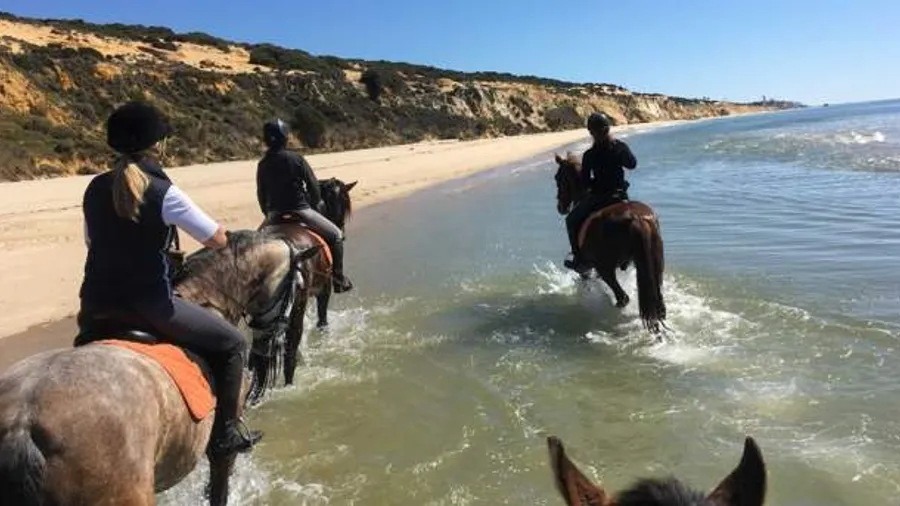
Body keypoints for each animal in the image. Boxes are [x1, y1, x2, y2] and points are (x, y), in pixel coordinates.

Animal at [0, 230, 320, 506]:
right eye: (296, 286)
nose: (270, 340)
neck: (206, 298)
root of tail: (22, 425)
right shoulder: (224, 446)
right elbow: (219, 486)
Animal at [256, 177, 357, 390]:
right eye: (342, 205)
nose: (342, 232)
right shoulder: (324, 291)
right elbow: (322, 322)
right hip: (296, 308)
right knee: (291, 348)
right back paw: (289, 384)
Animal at [553, 153, 667, 334]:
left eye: (557, 178)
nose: (560, 207)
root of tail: (637, 219)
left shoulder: (588, 268)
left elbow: (585, 276)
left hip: (605, 268)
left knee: (622, 297)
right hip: (656, 265)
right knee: (658, 302)